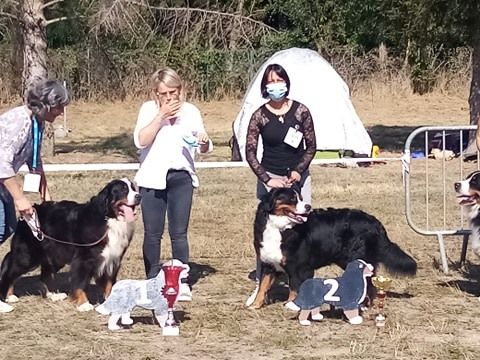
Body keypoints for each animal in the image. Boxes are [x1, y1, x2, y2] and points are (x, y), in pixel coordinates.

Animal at [0, 179, 142, 310]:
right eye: (123, 190)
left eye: (134, 188)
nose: (139, 196)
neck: (108, 219)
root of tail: (29, 213)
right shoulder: (84, 259)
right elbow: (80, 282)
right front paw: (83, 304)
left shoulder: (111, 258)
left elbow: (109, 282)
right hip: (27, 257)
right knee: (9, 270)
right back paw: (8, 296)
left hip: (54, 255)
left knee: (45, 275)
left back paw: (54, 295)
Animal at [249, 187, 418, 308]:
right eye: (292, 199)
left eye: (301, 198)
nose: (308, 206)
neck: (280, 228)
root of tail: (375, 222)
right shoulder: (269, 264)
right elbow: (262, 287)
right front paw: (255, 305)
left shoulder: (299, 268)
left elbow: (294, 290)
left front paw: (292, 306)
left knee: (369, 284)